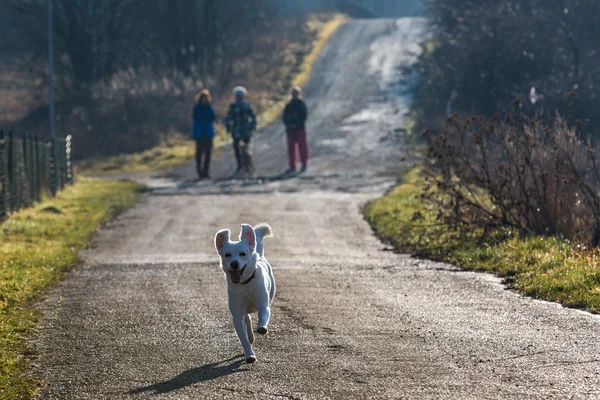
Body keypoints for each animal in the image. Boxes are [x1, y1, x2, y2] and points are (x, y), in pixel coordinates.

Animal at [214, 223, 276, 364]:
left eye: (243, 254)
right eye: (227, 255)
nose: (234, 264)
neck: (244, 284)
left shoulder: (263, 304)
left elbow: (263, 315)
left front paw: (262, 327)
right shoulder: (237, 316)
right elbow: (243, 338)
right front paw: (250, 355)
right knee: (247, 320)